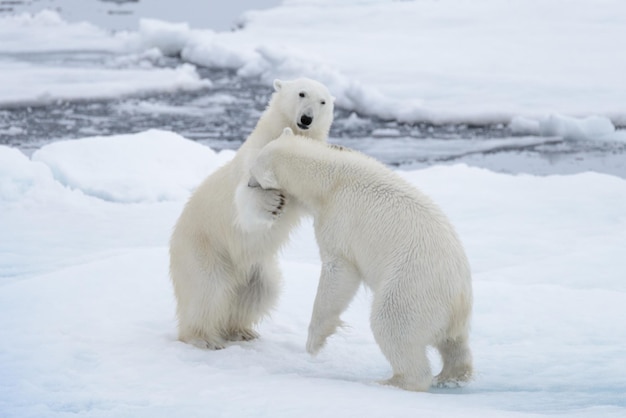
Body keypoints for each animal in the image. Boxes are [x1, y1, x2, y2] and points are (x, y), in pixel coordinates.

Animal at [168, 78, 334, 350]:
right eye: (301, 93)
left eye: (323, 102)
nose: (306, 119)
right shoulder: (256, 156)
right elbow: (245, 197)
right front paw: (272, 202)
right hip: (205, 248)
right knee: (207, 288)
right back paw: (202, 338)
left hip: (256, 268)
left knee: (261, 291)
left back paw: (240, 330)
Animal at [246, 128, 470, 392]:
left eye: (255, 172)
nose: (248, 183)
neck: (330, 179)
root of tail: (459, 299)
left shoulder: (339, 218)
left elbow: (339, 270)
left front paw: (313, 342)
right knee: (454, 343)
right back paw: (451, 375)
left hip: (412, 287)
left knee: (392, 324)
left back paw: (392, 381)